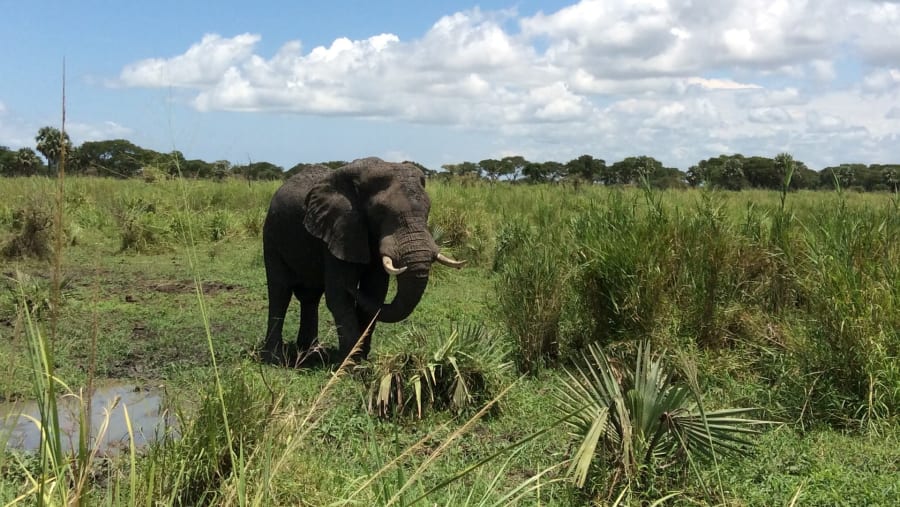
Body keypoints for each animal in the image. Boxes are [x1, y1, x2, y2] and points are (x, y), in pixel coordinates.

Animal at [260, 157, 465, 365]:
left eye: (428, 210)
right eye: (380, 212)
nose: (353, 287)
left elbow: (374, 292)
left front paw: (362, 360)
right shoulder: (339, 230)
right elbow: (339, 297)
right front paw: (351, 366)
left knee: (310, 296)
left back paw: (312, 354)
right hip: (271, 235)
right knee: (280, 291)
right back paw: (275, 358)